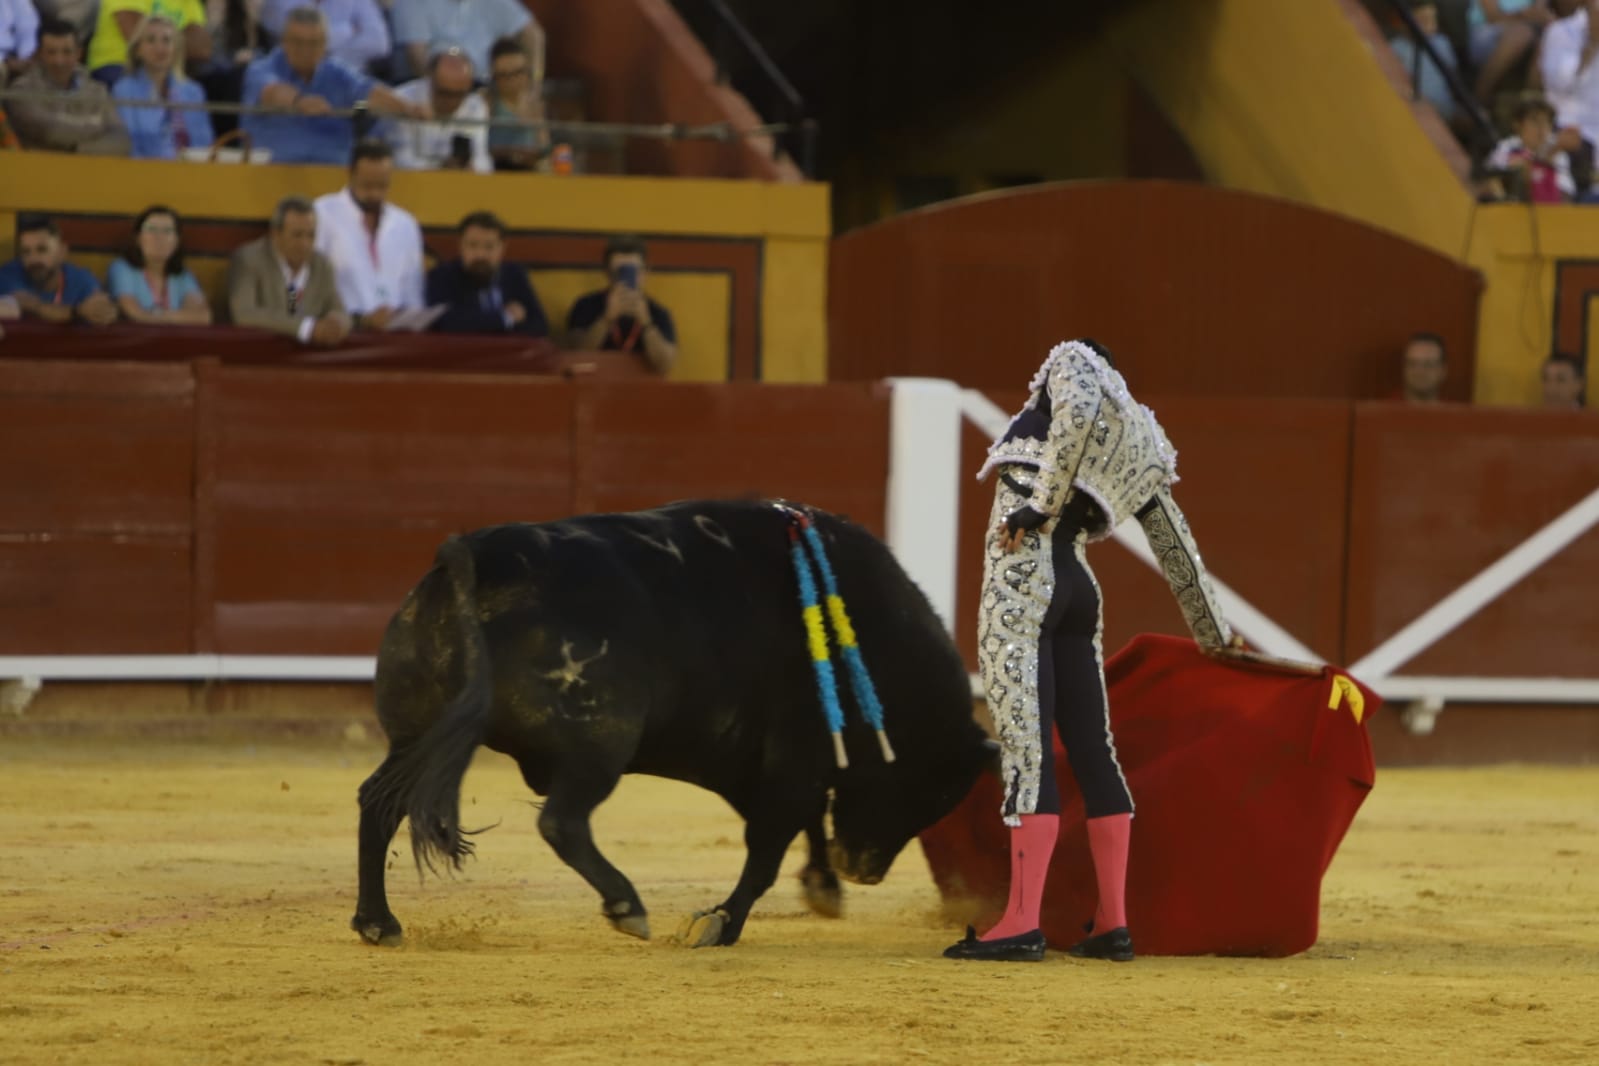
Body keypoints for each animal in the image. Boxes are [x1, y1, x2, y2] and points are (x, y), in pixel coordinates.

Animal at [351, 499, 996, 948]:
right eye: (928, 788)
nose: (864, 871)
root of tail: (478, 555)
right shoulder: (794, 759)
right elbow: (767, 847)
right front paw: (719, 924)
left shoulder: (764, 764)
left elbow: (800, 824)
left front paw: (821, 888)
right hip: (599, 743)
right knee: (563, 821)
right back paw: (627, 907)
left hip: (415, 738)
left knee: (378, 801)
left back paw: (378, 922)